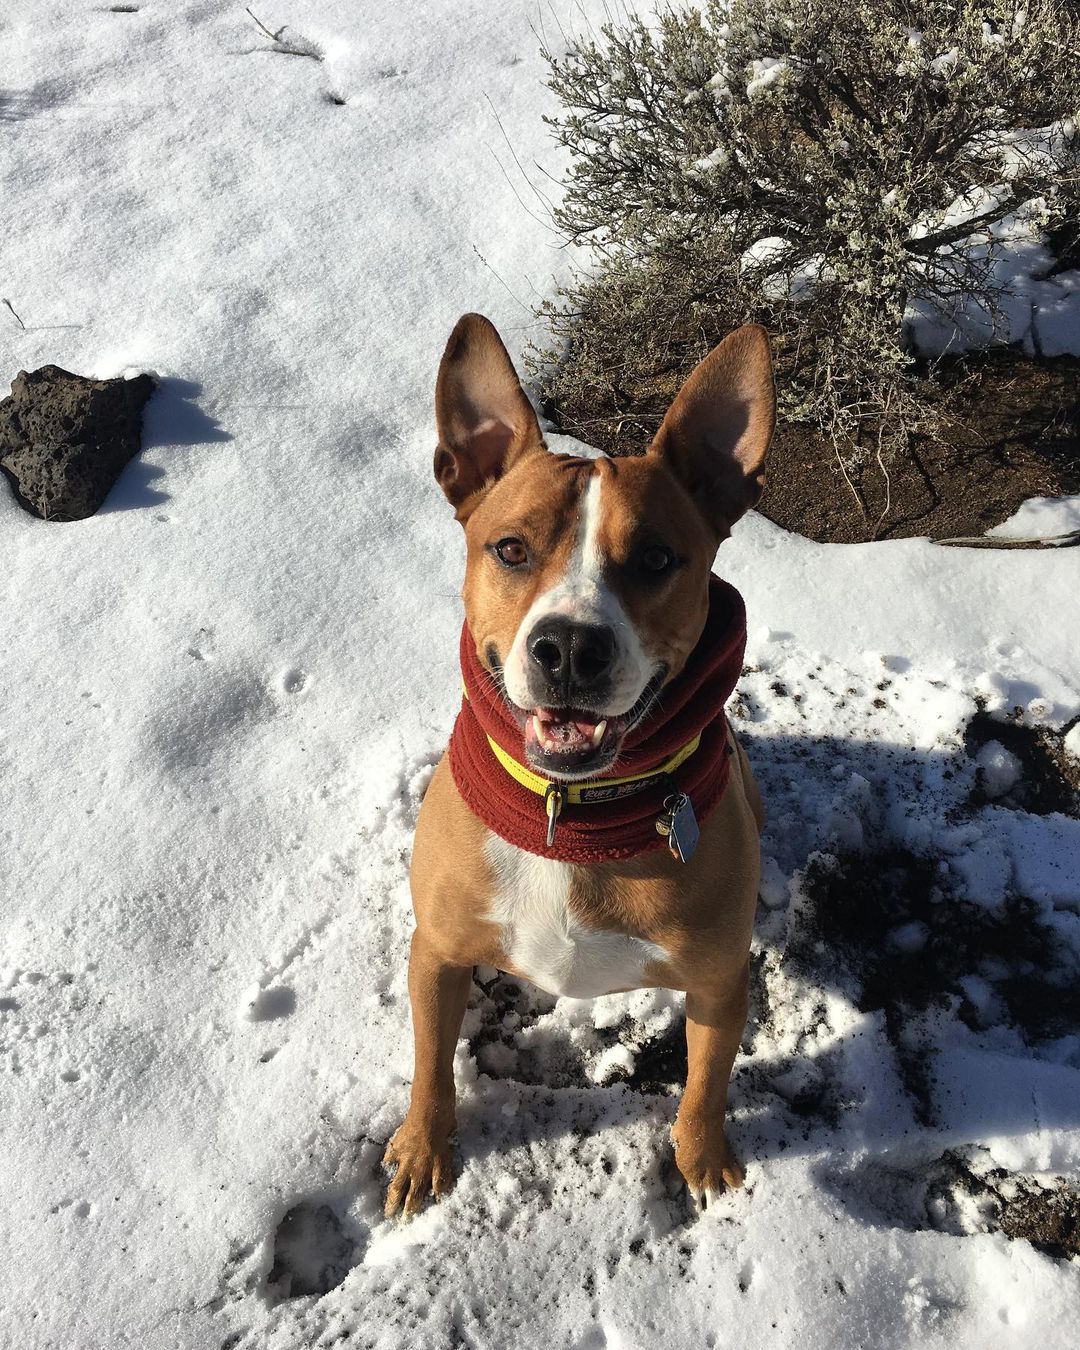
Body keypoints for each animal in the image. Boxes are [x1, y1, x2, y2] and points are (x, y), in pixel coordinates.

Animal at [383, 313, 772, 1215]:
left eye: (657, 559)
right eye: (511, 549)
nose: (568, 647)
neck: (571, 817)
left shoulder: (719, 984)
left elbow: (706, 1084)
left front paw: (702, 1158)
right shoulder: (436, 953)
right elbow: (430, 1069)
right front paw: (421, 1148)